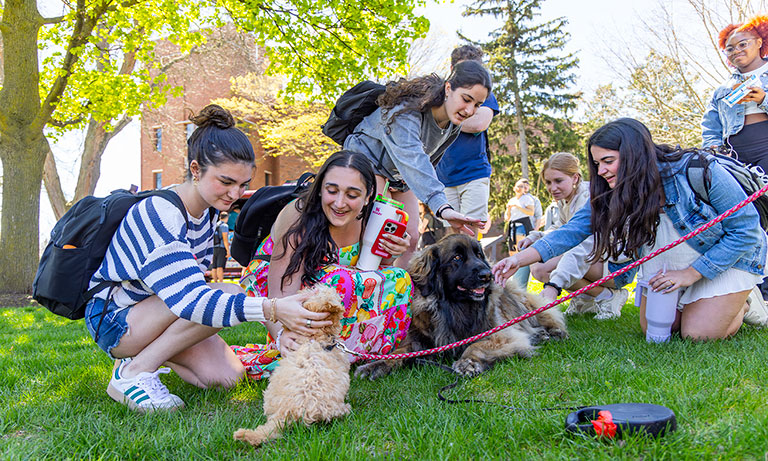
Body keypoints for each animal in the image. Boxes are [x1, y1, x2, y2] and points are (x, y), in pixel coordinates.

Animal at [356, 234, 568, 378]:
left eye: (479, 255)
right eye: (457, 258)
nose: (487, 275)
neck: (455, 308)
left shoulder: (502, 334)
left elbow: (477, 345)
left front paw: (467, 362)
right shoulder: (420, 338)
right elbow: (400, 352)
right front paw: (375, 365)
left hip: (524, 302)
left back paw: (551, 333)